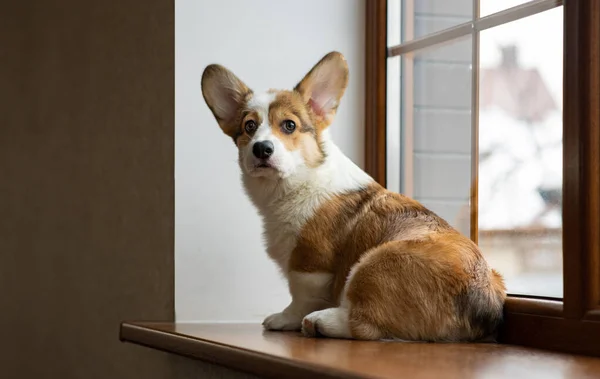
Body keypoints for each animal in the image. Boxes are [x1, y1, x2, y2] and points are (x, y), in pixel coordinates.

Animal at [203, 51, 506, 344]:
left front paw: (284, 318)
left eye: (289, 125)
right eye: (249, 127)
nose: (262, 149)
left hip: (374, 264)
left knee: (364, 326)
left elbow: (299, 297)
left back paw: (320, 322)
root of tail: (484, 309)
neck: (297, 180)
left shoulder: (309, 264)